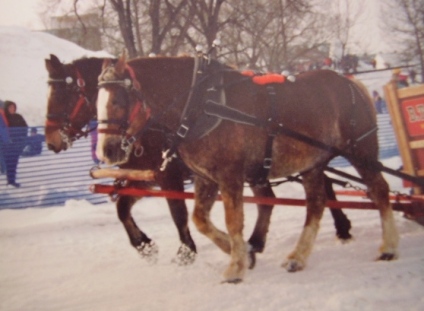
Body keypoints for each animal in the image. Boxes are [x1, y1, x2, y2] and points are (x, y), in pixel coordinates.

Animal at [95, 54, 398, 284]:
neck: (200, 104)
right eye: (96, 103)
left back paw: (388, 247)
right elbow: (199, 220)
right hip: (312, 163)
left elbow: (231, 220)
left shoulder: (228, 175)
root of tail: (350, 82)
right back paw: (298, 256)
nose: (106, 151)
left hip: (360, 151)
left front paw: (235, 267)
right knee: (316, 203)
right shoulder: (206, 178)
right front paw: (239, 252)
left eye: (118, 102)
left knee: (379, 190)